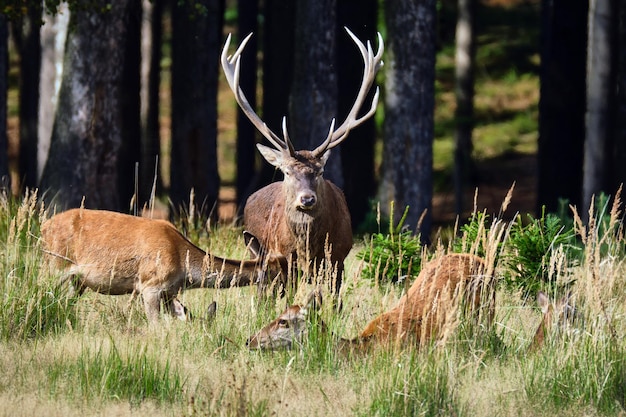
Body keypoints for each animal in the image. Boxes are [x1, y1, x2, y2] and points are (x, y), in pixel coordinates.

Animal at [40, 210, 288, 324]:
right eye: (281, 271)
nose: (287, 291)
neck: (185, 270)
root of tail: (43, 226)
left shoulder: (169, 292)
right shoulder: (150, 286)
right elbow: (155, 325)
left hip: (77, 282)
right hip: (55, 266)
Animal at [222, 27, 382, 296]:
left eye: (320, 171)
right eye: (286, 172)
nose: (307, 199)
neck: (308, 248)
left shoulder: (337, 259)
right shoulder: (287, 260)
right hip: (260, 254)